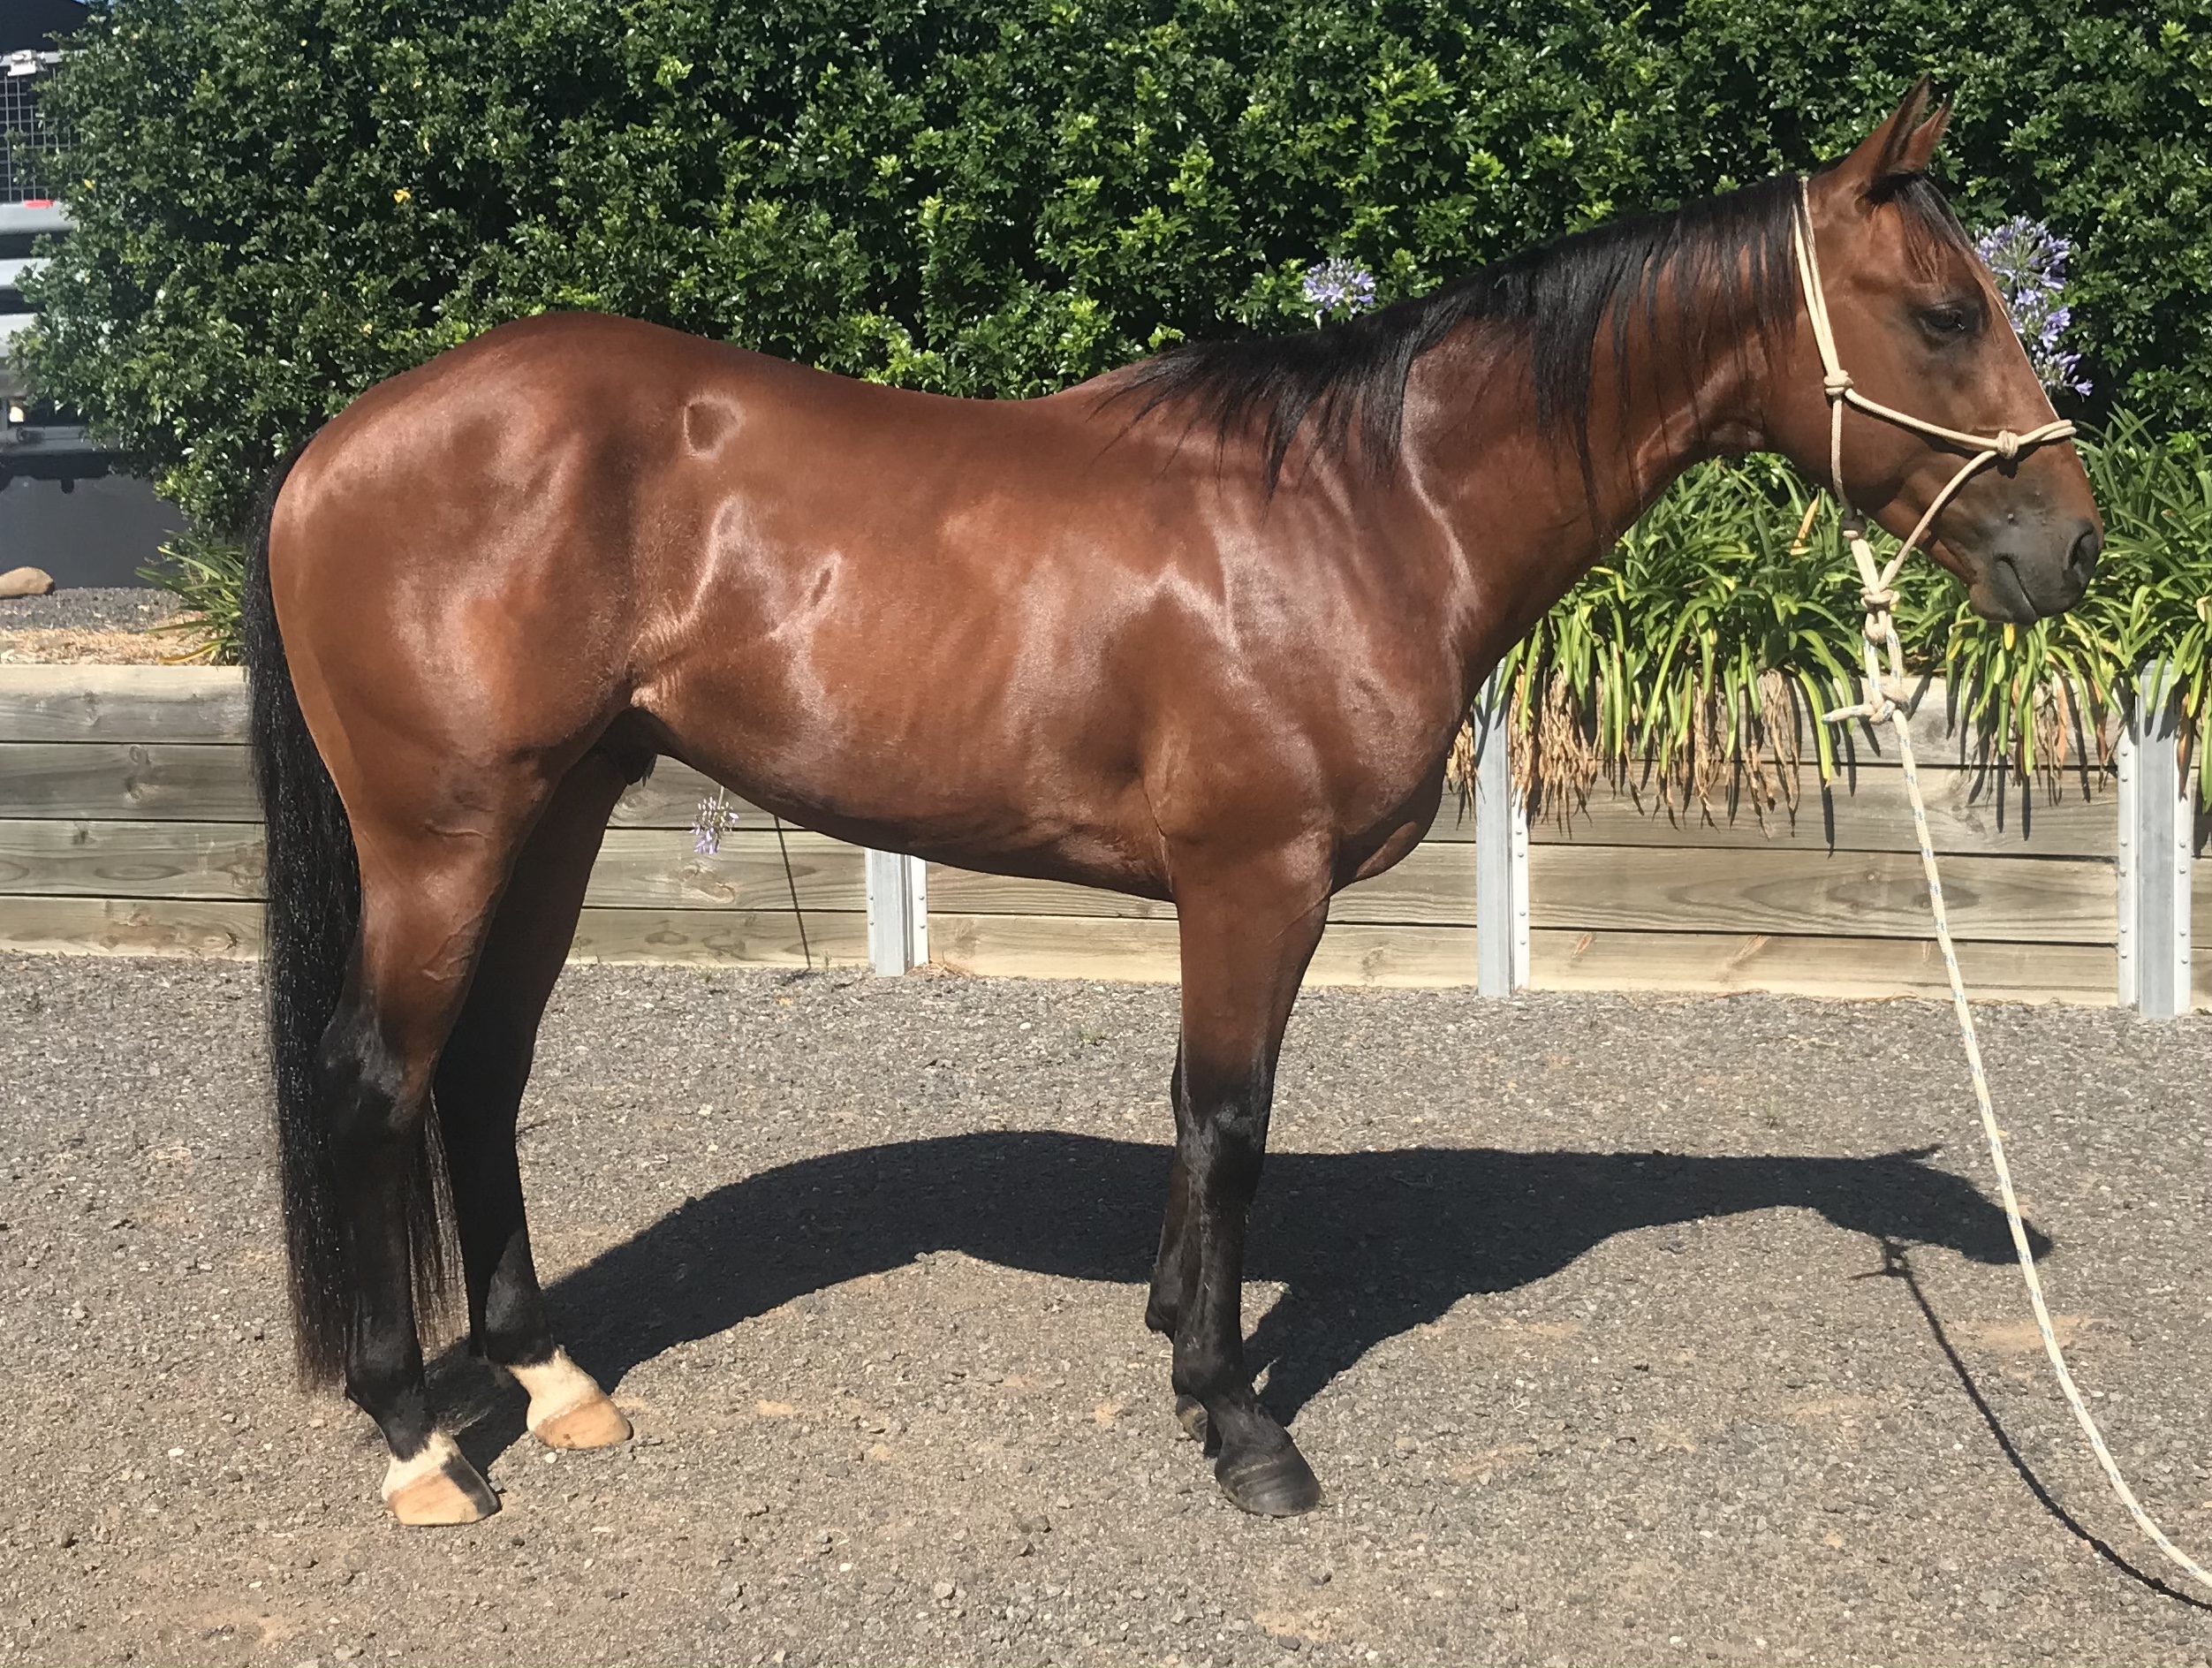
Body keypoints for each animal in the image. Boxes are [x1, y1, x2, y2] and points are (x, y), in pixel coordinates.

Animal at [241, 80, 2100, 1525]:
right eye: (1944, 314)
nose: (2069, 547)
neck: (1369, 506)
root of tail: (336, 446)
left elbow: (1195, 1120)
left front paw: (1171, 1330)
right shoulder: (1253, 878)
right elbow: (1227, 1120)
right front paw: (1233, 1414)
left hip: (557, 814)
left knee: (479, 1072)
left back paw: (553, 1380)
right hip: (446, 835)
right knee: (377, 1079)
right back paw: (420, 1440)